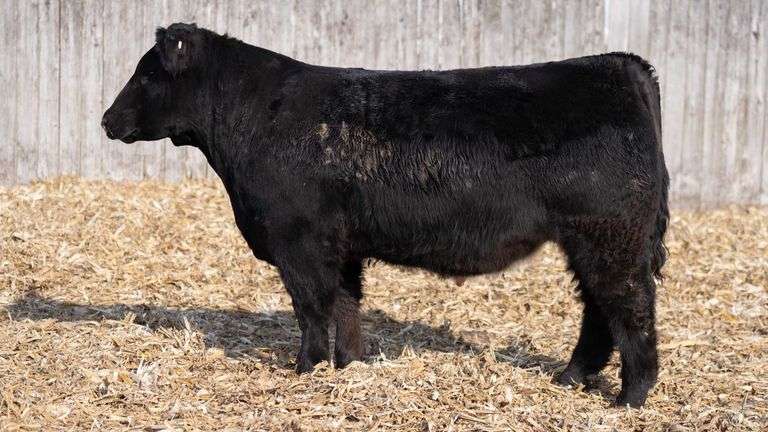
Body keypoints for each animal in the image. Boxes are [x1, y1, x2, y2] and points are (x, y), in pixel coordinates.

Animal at [102, 23, 669, 408]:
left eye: (146, 73)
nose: (107, 119)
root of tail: (621, 65)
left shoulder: (299, 240)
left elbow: (312, 307)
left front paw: (306, 368)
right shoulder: (342, 243)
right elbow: (347, 305)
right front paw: (349, 365)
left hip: (610, 236)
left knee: (630, 307)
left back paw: (629, 397)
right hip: (591, 239)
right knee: (599, 309)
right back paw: (572, 378)